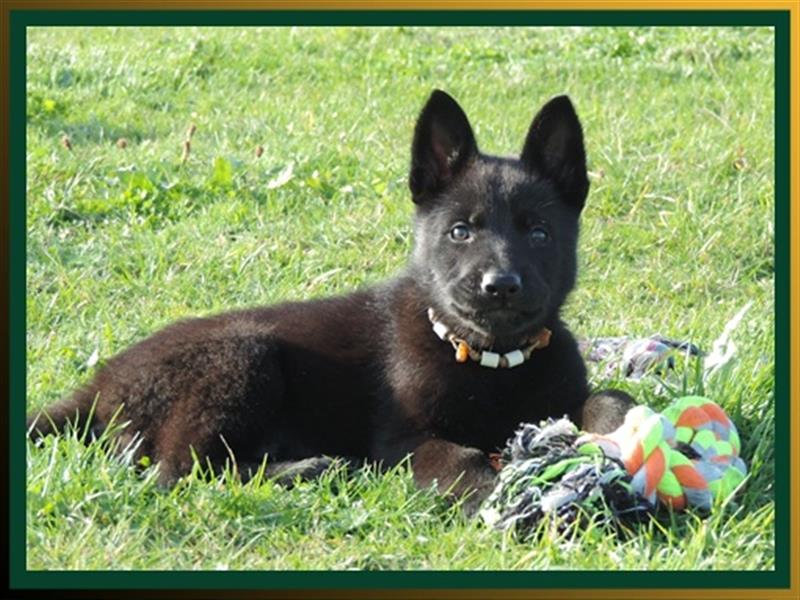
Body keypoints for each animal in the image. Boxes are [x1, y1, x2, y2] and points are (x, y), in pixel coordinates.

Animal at [26, 89, 632, 510]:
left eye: (540, 234)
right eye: (461, 231)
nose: (500, 285)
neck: (493, 362)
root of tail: (99, 387)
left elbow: (610, 398)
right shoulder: (403, 438)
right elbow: (460, 458)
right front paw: (502, 498)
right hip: (241, 357)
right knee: (178, 470)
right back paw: (310, 469)